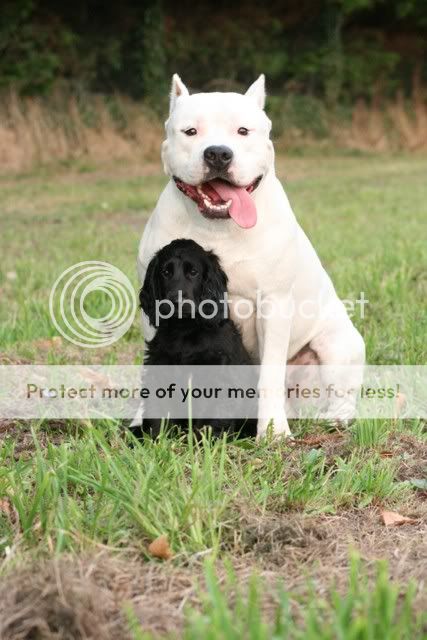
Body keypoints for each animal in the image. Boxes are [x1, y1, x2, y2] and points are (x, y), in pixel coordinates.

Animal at [132, 239, 256, 440]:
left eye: (193, 272)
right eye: (166, 272)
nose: (176, 302)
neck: (185, 329)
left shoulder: (219, 376)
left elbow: (210, 419)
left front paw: (204, 442)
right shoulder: (159, 367)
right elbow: (158, 413)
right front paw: (155, 440)